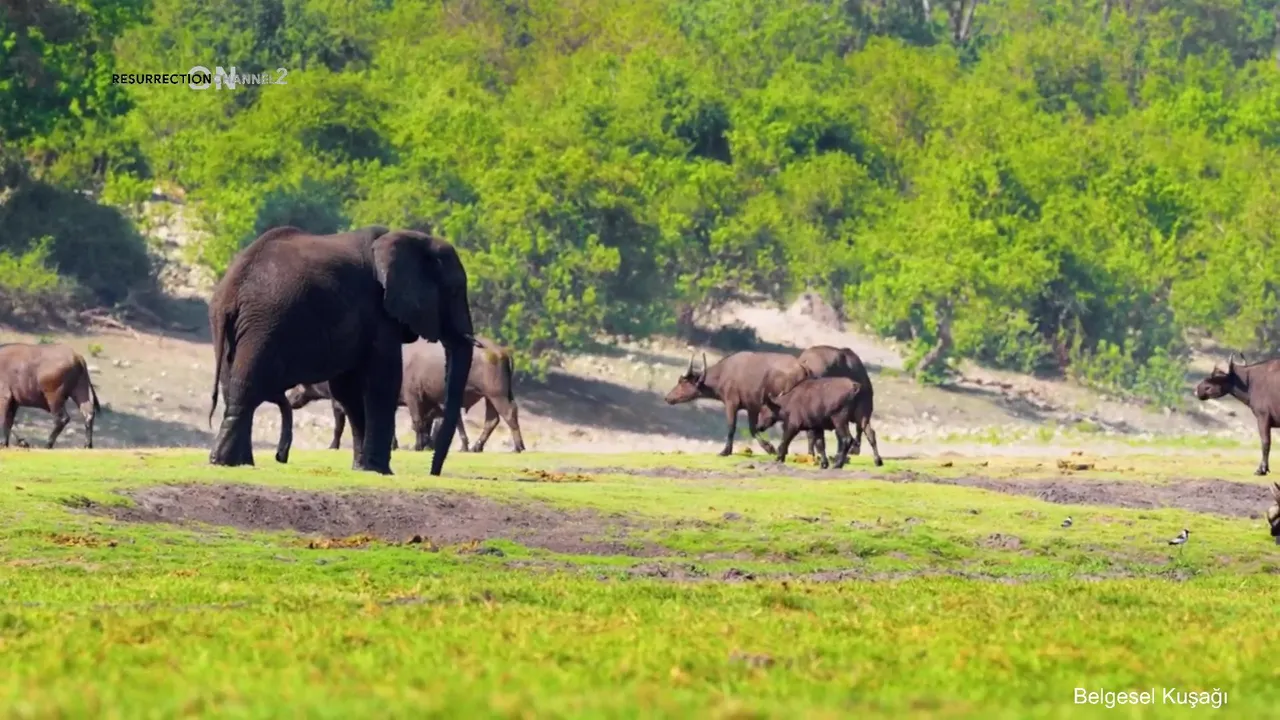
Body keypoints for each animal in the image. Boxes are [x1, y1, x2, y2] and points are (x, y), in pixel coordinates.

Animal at [206, 225, 478, 476]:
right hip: (264, 324)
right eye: (455, 291)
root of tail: (231, 289)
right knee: (246, 387)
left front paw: (362, 468)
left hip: (236, 329)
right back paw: (225, 462)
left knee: (232, 386)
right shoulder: (379, 313)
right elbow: (382, 381)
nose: (433, 472)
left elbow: (348, 390)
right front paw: (380, 471)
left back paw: (237, 463)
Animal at [665, 351, 811, 456]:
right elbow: (753, 429)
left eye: (682, 382)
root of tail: (802, 367)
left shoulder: (731, 403)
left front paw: (725, 451)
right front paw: (769, 448)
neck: (723, 374)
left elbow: (731, 427)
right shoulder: (752, 408)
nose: (667, 398)